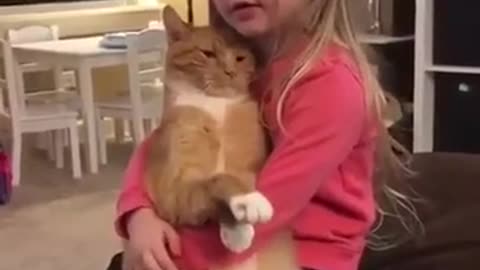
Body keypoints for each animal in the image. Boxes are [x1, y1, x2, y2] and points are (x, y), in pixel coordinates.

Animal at [144, 6, 274, 253]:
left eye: (240, 58)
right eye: (208, 54)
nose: (230, 71)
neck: (214, 104)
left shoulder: (252, 167)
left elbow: (235, 176)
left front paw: (237, 229)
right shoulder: (176, 193)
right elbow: (219, 179)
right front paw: (247, 202)